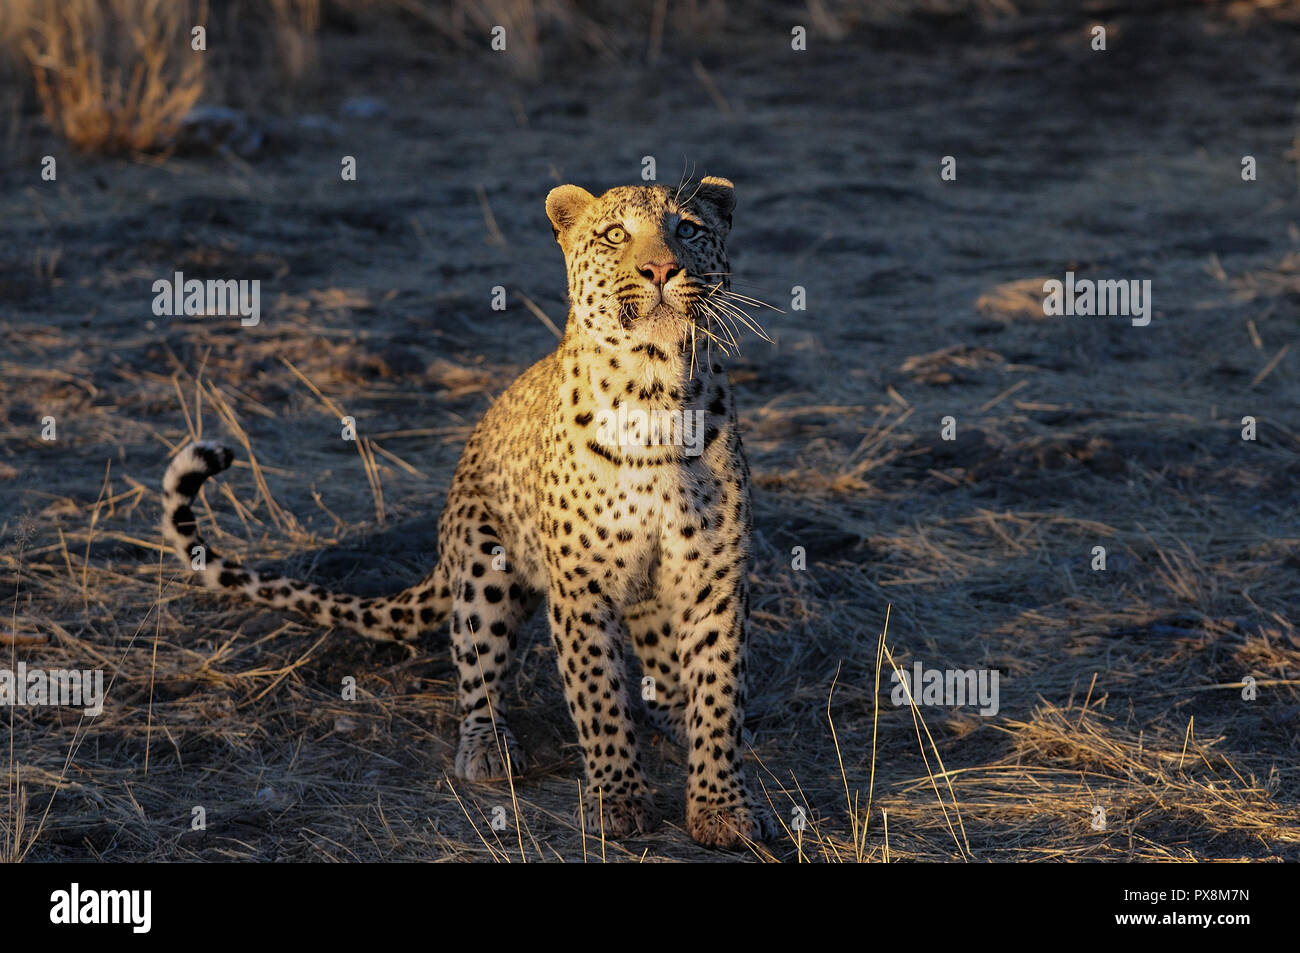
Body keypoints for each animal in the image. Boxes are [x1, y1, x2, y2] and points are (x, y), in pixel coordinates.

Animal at [159, 178, 769, 847]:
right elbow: (599, 698)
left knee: (661, 680)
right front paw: (616, 798)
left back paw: (688, 719)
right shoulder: (580, 588)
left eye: (687, 228)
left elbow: (718, 691)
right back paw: (489, 749)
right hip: (483, 563)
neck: (656, 388)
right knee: (476, 674)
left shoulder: (713, 577)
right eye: (615, 235)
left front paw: (721, 806)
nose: (660, 268)